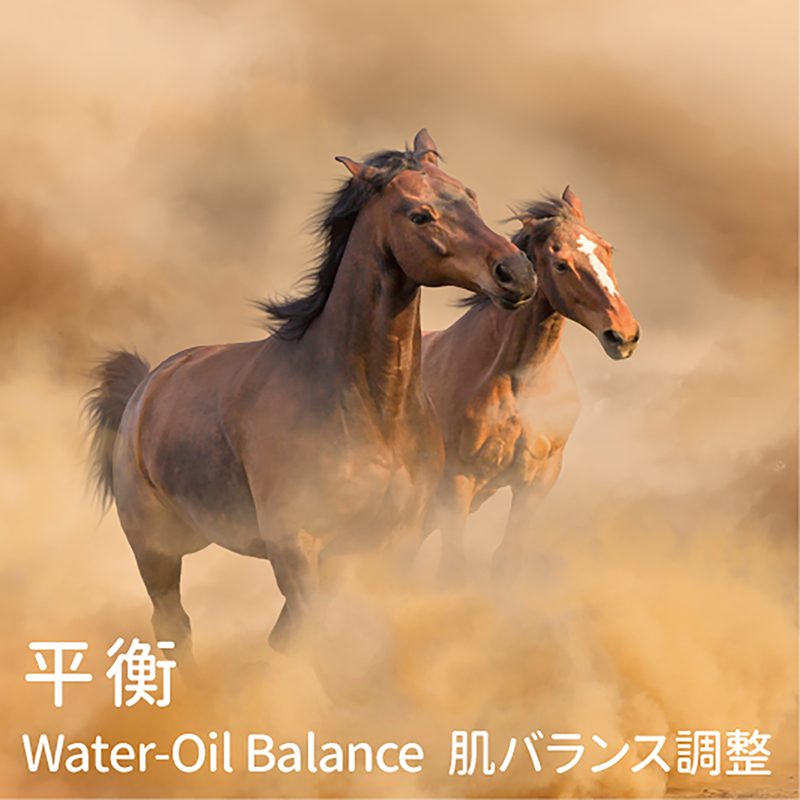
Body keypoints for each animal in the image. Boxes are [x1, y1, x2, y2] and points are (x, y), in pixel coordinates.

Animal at [84, 130, 536, 667]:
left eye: (470, 195)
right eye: (419, 215)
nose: (517, 273)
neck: (374, 410)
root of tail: (145, 388)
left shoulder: (387, 543)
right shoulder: (295, 544)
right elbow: (320, 639)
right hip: (156, 549)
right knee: (172, 624)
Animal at [421, 187, 639, 585]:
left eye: (607, 248)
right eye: (561, 264)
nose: (624, 335)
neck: (518, 383)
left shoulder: (538, 477)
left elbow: (506, 559)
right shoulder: (458, 477)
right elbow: (453, 568)